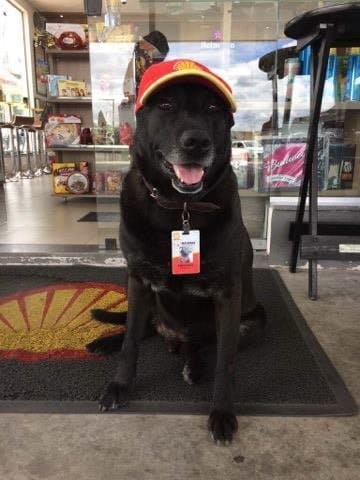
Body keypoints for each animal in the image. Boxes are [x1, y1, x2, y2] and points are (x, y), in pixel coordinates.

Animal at [88, 61, 266, 446]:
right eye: (166, 106)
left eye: (213, 109)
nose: (196, 142)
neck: (180, 208)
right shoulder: (138, 281)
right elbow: (130, 344)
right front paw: (119, 385)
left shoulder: (228, 294)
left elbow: (225, 362)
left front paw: (222, 412)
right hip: (151, 305)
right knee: (141, 330)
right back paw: (108, 343)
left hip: (250, 322)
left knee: (201, 344)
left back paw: (193, 364)